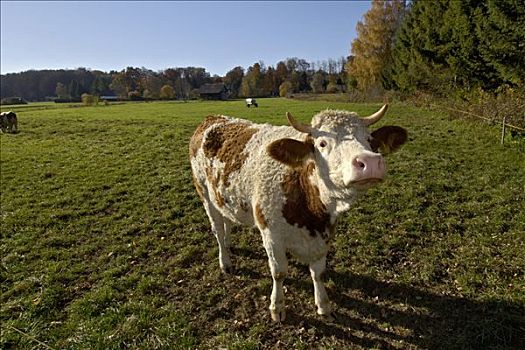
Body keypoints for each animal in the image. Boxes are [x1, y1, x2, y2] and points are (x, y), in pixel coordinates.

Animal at [188, 105, 406, 322]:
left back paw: (228, 244)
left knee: (227, 221)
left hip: (222, 197)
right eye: (322, 143)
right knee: (217, 229)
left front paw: (323, 305)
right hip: (204, 193)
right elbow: (278, 272)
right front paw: (277, 307)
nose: (369, 162)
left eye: (369, 140)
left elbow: (318, 273)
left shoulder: (323, 235)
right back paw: (225, 261)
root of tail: (213, 118)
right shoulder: (271, 235)